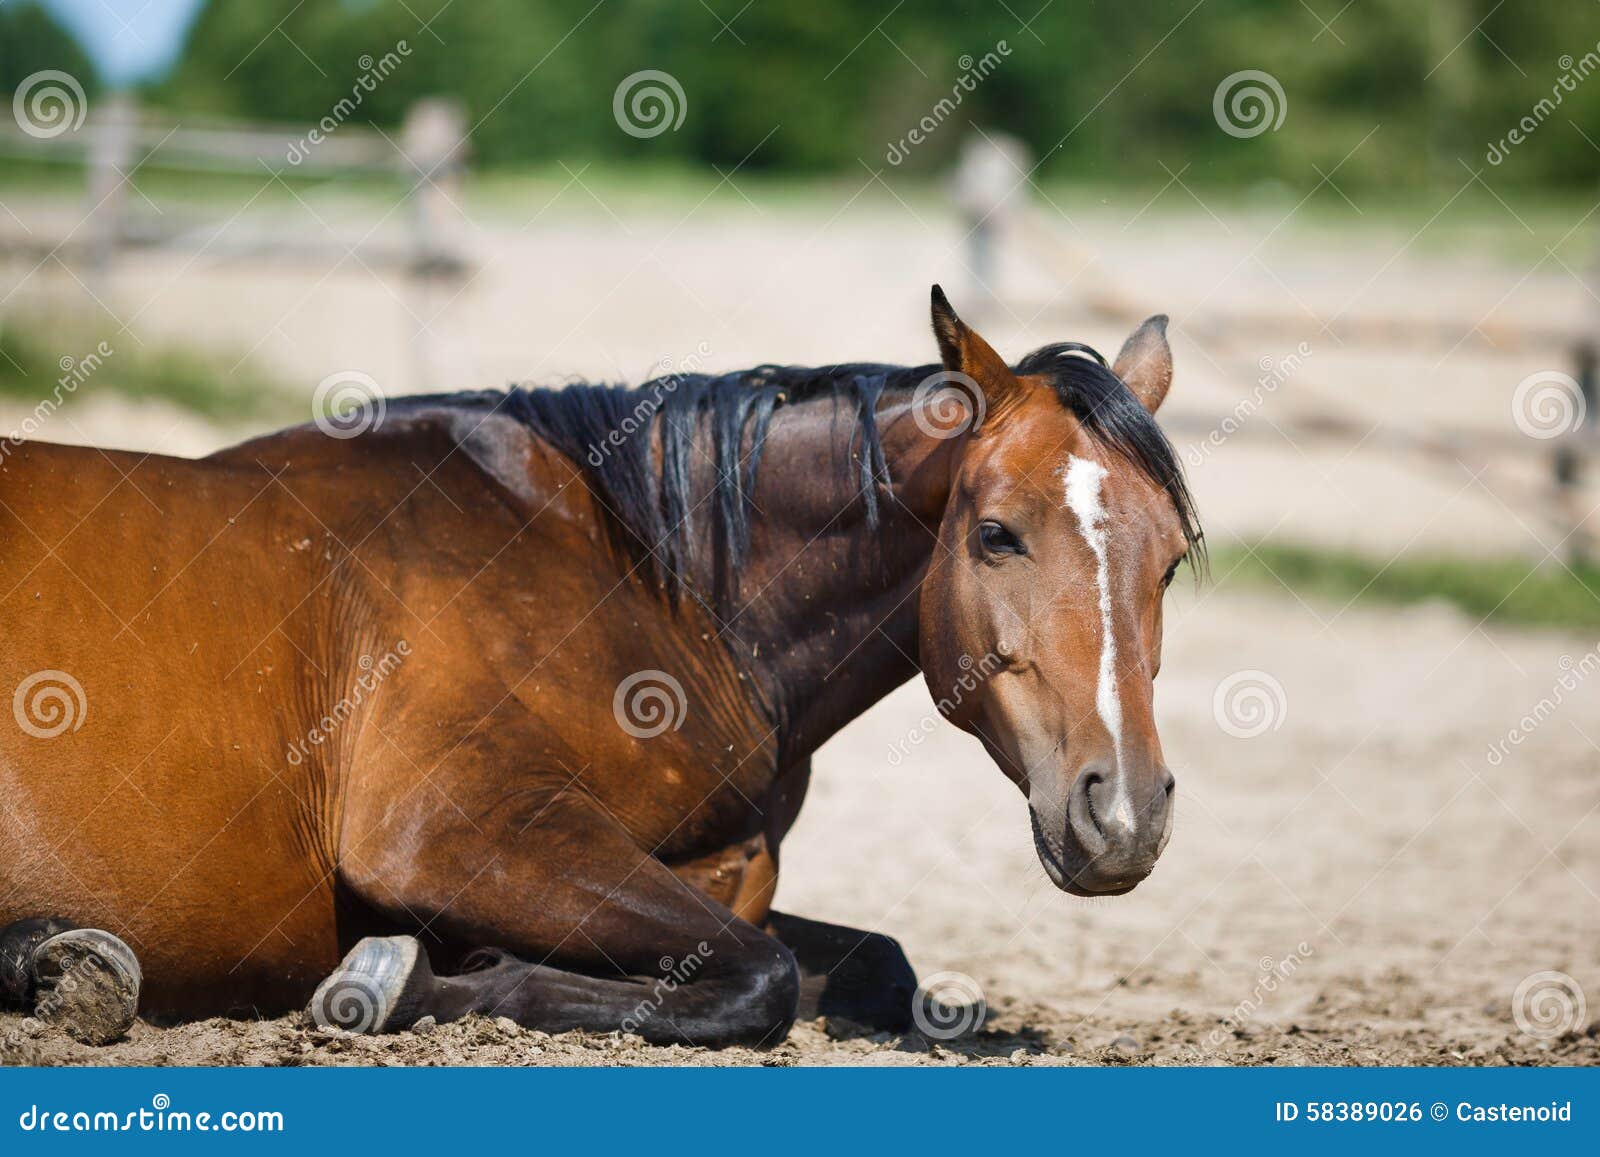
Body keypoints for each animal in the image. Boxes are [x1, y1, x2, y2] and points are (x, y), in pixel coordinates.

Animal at [0, 289, 1203, 1049]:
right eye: (996, 534)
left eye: (1171, 560)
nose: (1124, 816)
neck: (647, 577)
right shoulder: (459, 832)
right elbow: (758, 980)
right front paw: (407, 980)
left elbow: (874, 962)